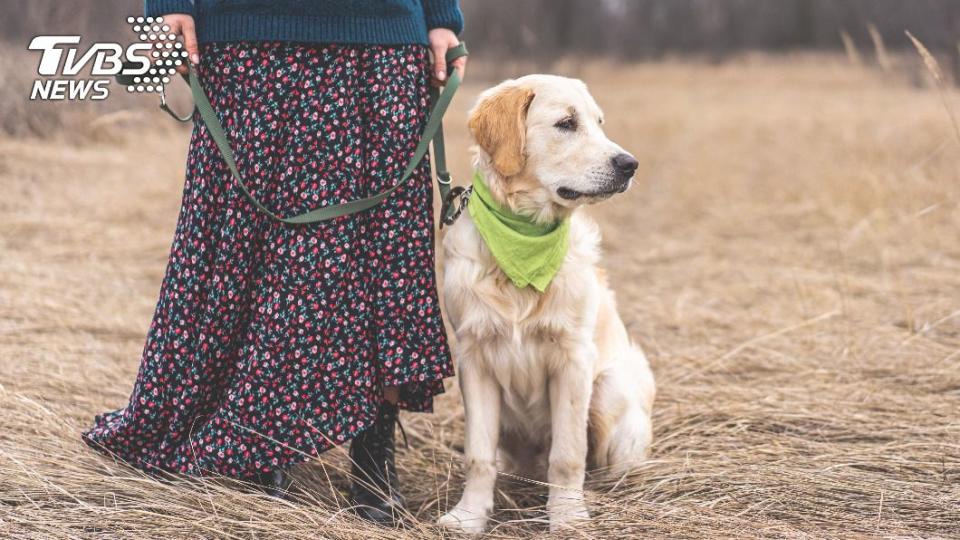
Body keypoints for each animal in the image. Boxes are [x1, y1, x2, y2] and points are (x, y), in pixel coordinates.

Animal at [436, 74, 656, 532]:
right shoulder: (473, 357)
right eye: (566, 124)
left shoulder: (573, 358)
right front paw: (469, 516)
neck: (522, 238)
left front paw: (568, 516)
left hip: (609, 389)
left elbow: (568, 456)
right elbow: (478, 455)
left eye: (599, 122)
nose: (630, 164)